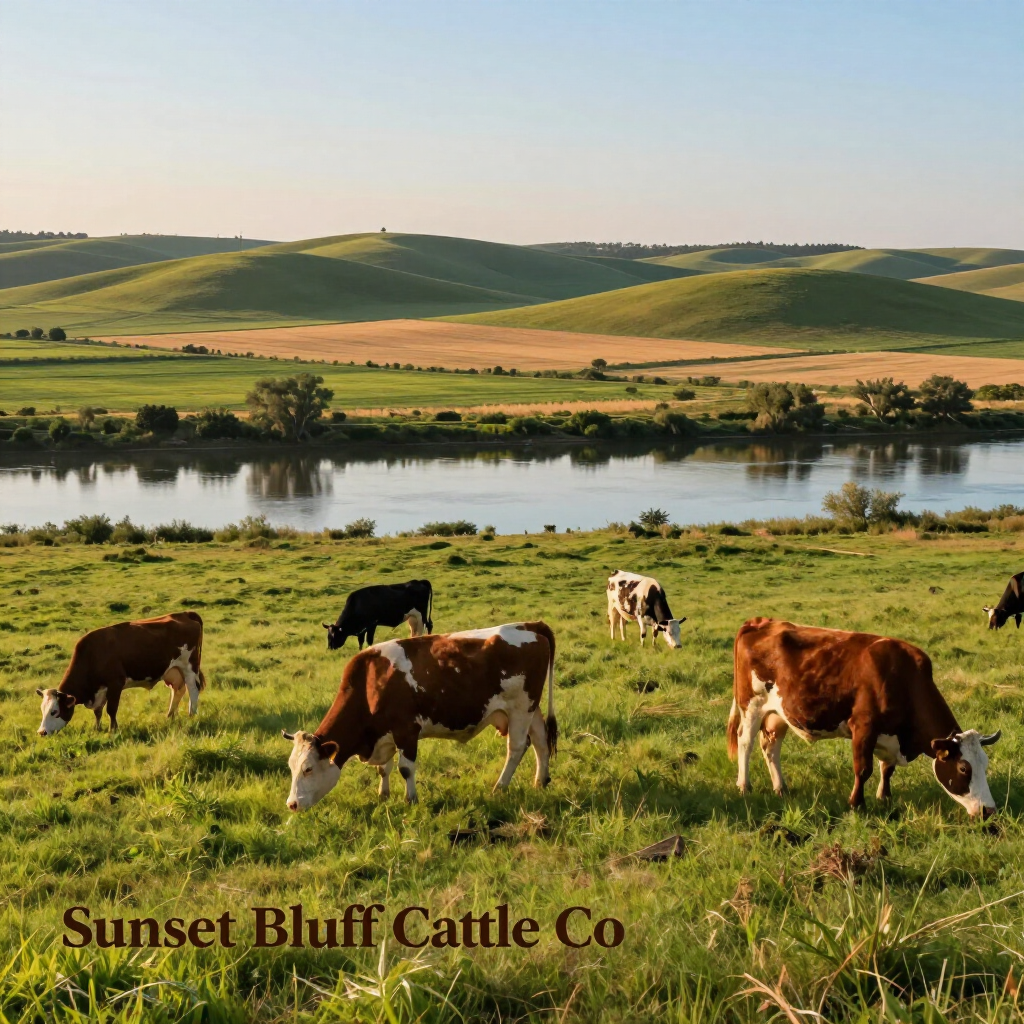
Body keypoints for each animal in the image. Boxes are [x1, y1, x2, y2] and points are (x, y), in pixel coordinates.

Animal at [36, 612, 206, 735]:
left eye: (54, 711)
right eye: (42, 710)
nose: (41, 732)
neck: (92, 654)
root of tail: (184, 614)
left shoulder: (115, 684)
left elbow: (111, 709)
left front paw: (113, 730)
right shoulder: (100, 691)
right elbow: (98, 712)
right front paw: (97, 728)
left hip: (189, 666)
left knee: (193, 689)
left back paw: (191, 715)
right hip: (173, 671)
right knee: (177, 690)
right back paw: (170, 716)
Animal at [283, 621, 557, 810]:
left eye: (308, 769)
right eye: (291, 767)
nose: (292, 805)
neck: (371, 682)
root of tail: (530, 625)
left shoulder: (406, 730)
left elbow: (405, 768)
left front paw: (411, 799)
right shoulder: (385, 734)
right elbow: (383, 768)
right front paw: (383, 795)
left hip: (520, 706)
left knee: (517, 747)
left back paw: (499, 787)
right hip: (531, 707)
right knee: (541, 740)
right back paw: (540, 781)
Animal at [726, 617, 1001, 818]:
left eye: (985, 764)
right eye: (964, 768)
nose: (989, 810)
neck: (904, 679)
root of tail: (760, 622)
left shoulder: (888, 733)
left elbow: (887, 769)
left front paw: (884, 798)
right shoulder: (863, 727)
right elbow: (863, 768)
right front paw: (856, 804)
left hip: (778, 714)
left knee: (771, 747)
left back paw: (781, 788)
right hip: (751, 704)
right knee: (745, 742)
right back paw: (744, 786)